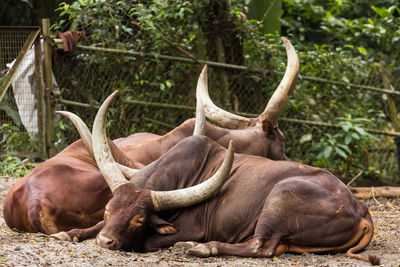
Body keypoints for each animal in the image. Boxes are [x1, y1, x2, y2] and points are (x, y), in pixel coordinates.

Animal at [51, 96, 380, 266]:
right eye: (109, 209)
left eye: (139, 219)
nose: (106, 242)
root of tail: (362, 210)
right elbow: (89, 226)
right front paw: (69, 233)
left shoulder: (188, 229)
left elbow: (151, 241)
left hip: (281, 197)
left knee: (262, 247)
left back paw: (202, 249)